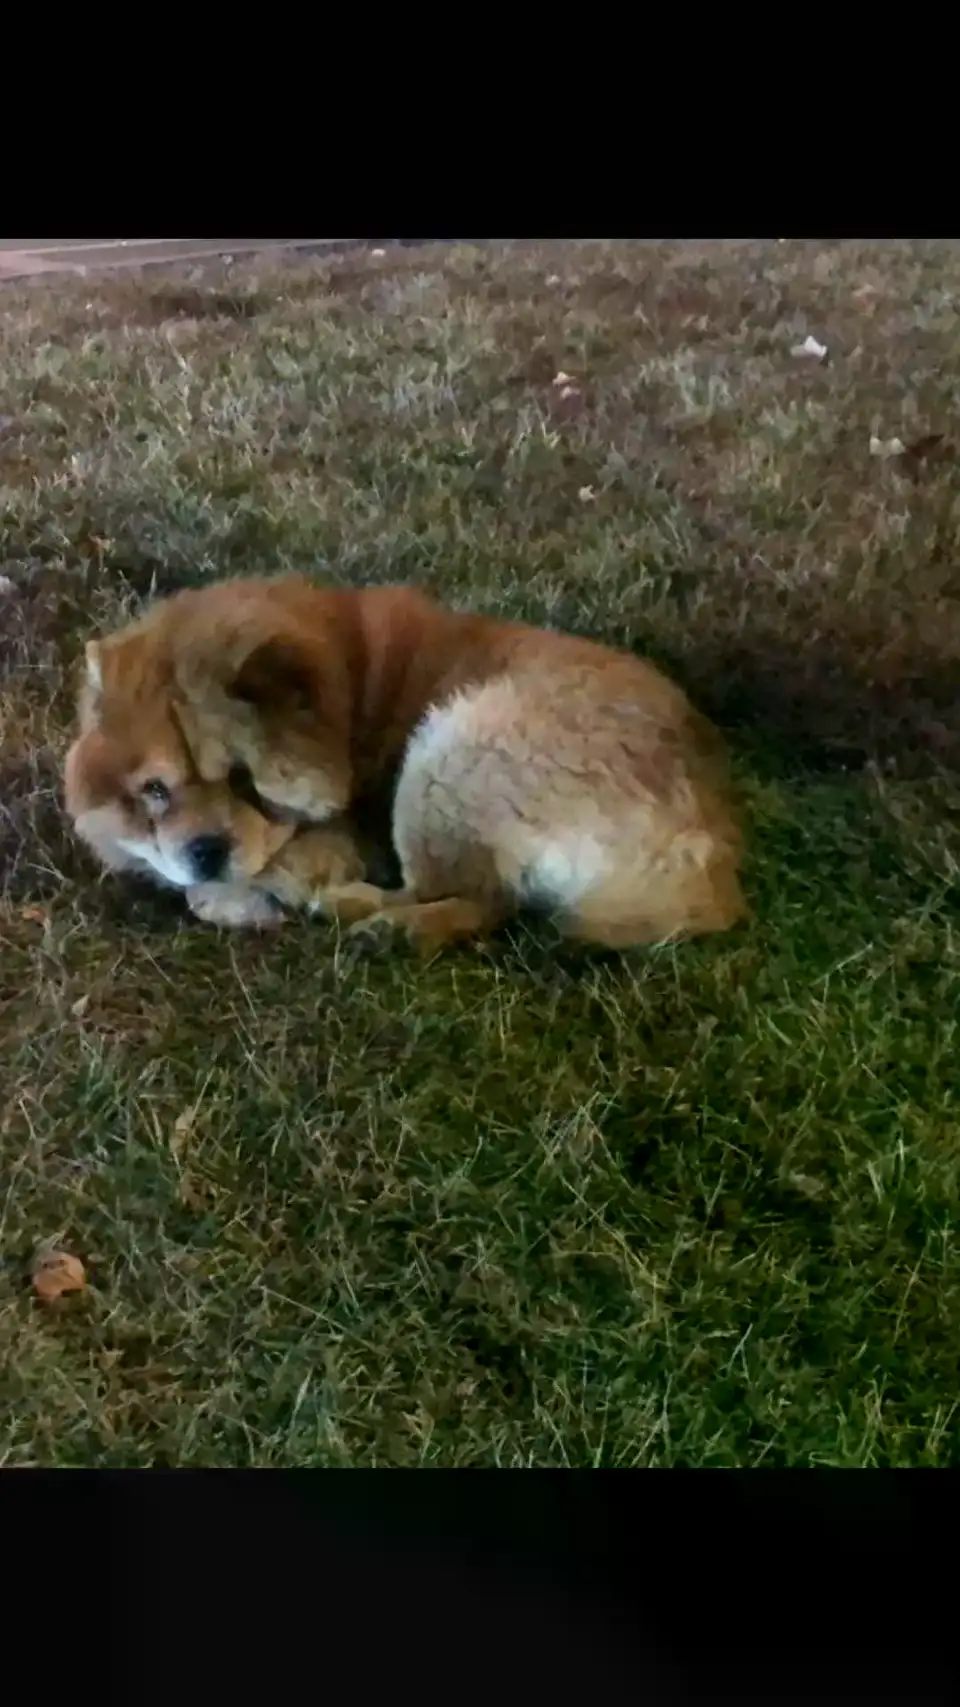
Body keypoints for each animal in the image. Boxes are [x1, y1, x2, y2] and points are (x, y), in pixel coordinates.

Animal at [65, 576, 748, 955]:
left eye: (241, 780)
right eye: (154, 790)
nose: (205, 850)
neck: (344, 700)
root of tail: (710, 850)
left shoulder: (335, 837)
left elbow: (226, 886)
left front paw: (248, 899)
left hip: (455, 747)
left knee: (474, 898)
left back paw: (375, 920)